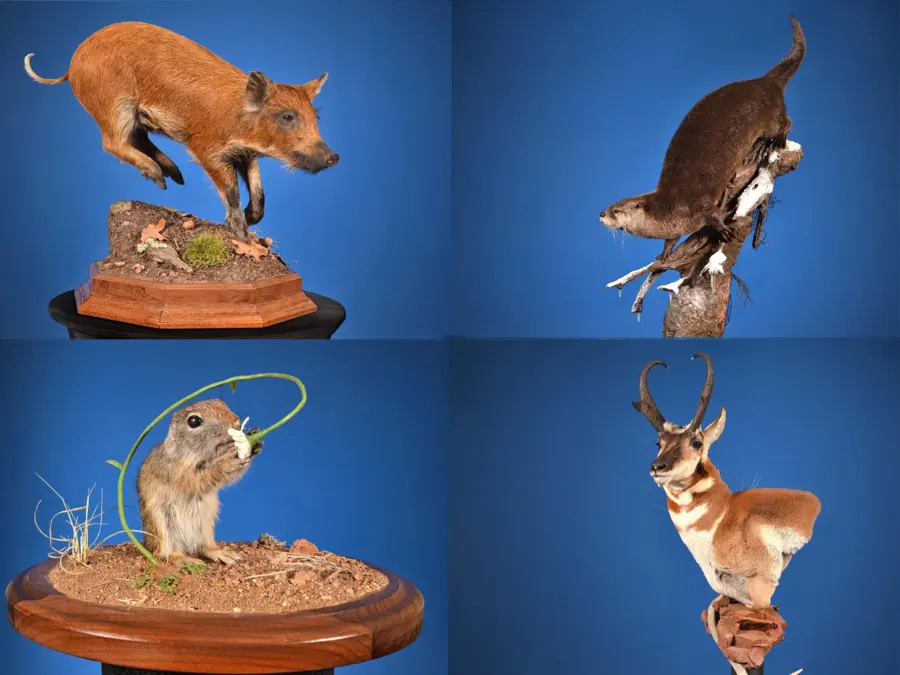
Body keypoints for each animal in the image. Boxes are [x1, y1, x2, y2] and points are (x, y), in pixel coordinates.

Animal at [137, 398, 262, 566]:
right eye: (194, 421)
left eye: (221, 402)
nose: (236, 422)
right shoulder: (176, 471)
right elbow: (204, 478)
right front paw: (229, 460)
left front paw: (254, 441)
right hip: (161, 527)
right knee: (166, 554)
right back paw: (185, 559)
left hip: (206, 525)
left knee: (203, 547)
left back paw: (221, 553)